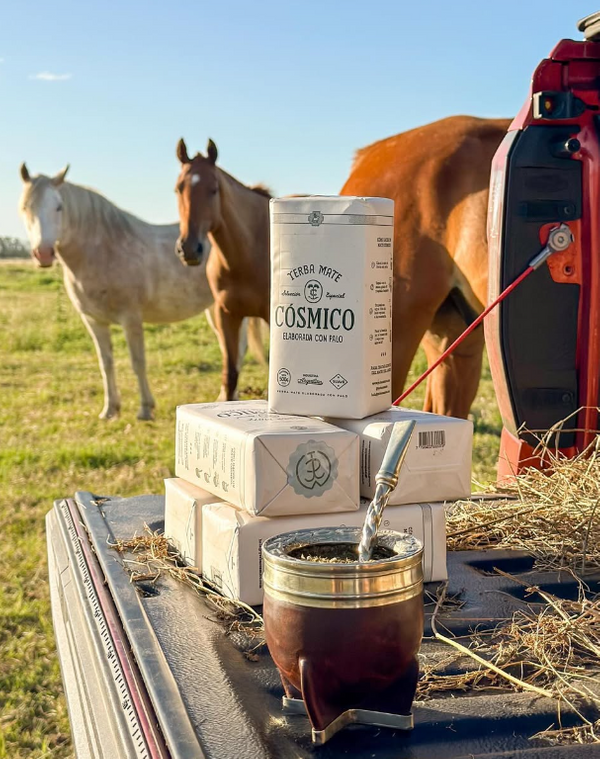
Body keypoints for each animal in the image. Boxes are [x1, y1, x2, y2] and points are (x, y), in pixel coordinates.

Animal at [18, 163, 262, 418]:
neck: (103, 250)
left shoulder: (131, 318)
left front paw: (145, 409)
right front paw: (110, 410)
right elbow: (106, 363)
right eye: (26, 207)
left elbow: (138, 362)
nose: (43, 253)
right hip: (218, 309)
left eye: (59, 207)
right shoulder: (93, 321)